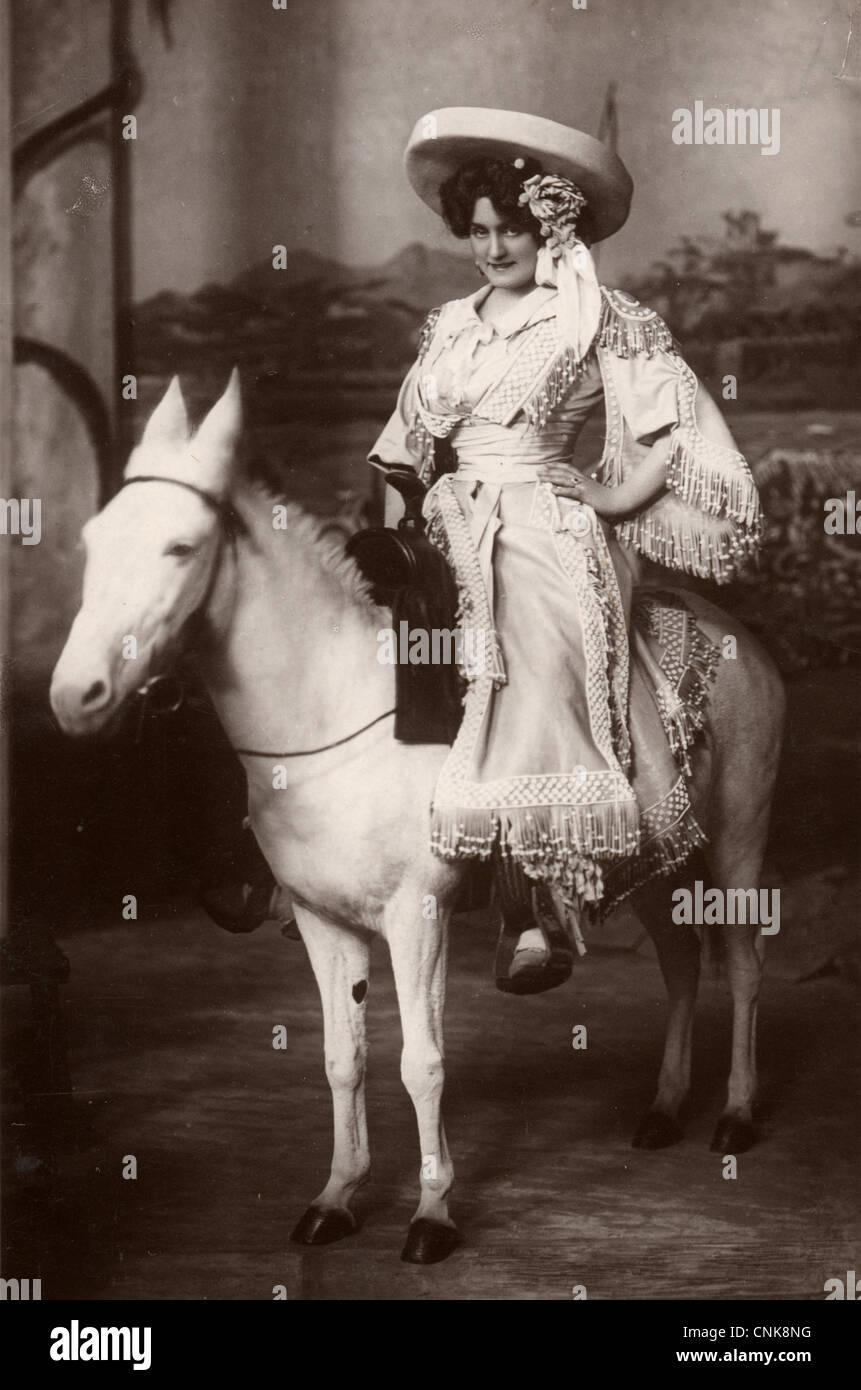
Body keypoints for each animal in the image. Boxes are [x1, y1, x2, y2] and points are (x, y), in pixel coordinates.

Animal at [50, 375, 784, 1267]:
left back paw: (734, 1114)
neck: (337, 713)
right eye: (93, 541)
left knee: (741, 966)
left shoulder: (417, 916)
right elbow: (343, 1058)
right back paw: (663, 1108)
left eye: (180, 549)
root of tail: (737, 633)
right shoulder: (322, 919)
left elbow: (422, 1062)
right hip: (651, 856)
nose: (75, 694)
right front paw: (336, 1197)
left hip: (738, 840)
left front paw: (432, 1213)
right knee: (679, 962)